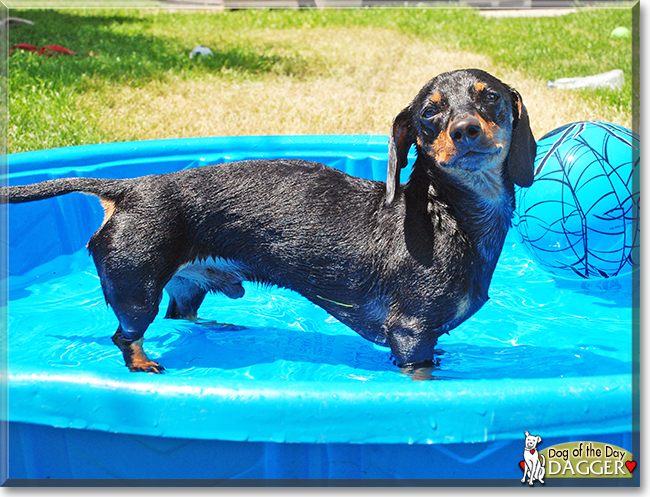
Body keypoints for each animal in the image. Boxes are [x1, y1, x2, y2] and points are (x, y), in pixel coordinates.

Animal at [1, 69, 532, 372]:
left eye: (490, 98)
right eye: (429, 114)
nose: (465, 130)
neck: (450, 216)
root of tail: (129, 188)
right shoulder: (410, 334)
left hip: (184, 286)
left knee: (182, 317)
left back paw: (220, 327)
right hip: (136, 292)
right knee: (125, 336)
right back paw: (143, 365)